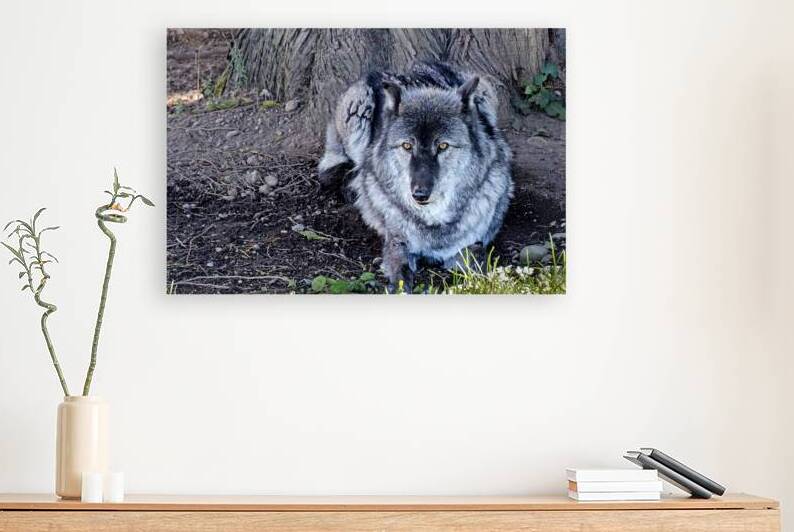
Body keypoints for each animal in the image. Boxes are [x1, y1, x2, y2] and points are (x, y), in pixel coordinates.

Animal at [319, 62, 513, 291]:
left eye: (443, 146)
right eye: (407, 146)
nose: (419, 194)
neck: (432, 222)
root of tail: (408, 70)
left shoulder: (472, 243)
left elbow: (481, 264)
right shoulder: (397, 241)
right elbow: (400, 271)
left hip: (486, 91)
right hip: (359, 107)